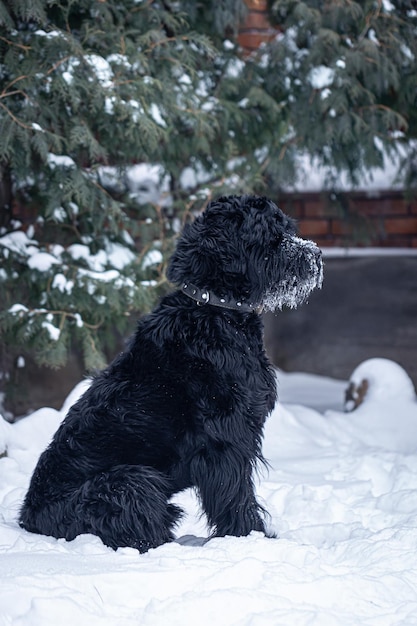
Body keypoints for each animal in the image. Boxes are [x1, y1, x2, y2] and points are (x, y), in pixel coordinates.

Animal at [18, 193, 322, 548]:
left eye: (287, 228)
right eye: (271, 235)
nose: (315, 256)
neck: (213, 309)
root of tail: (28, 518)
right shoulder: (225, 439)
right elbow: (236, 496)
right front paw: (251, 537)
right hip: (130, 482)